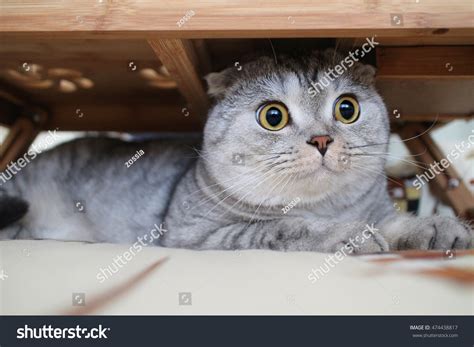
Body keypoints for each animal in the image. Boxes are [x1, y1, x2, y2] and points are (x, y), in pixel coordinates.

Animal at [0, 49, 472, 253]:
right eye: (273, 116)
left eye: (347, 108)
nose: (322, 140)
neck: (324, 205)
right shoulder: (195, 236)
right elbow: (285, 226)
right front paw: (343, 234)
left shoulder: (376, 209)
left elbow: (392, 222)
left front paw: (438, 227)